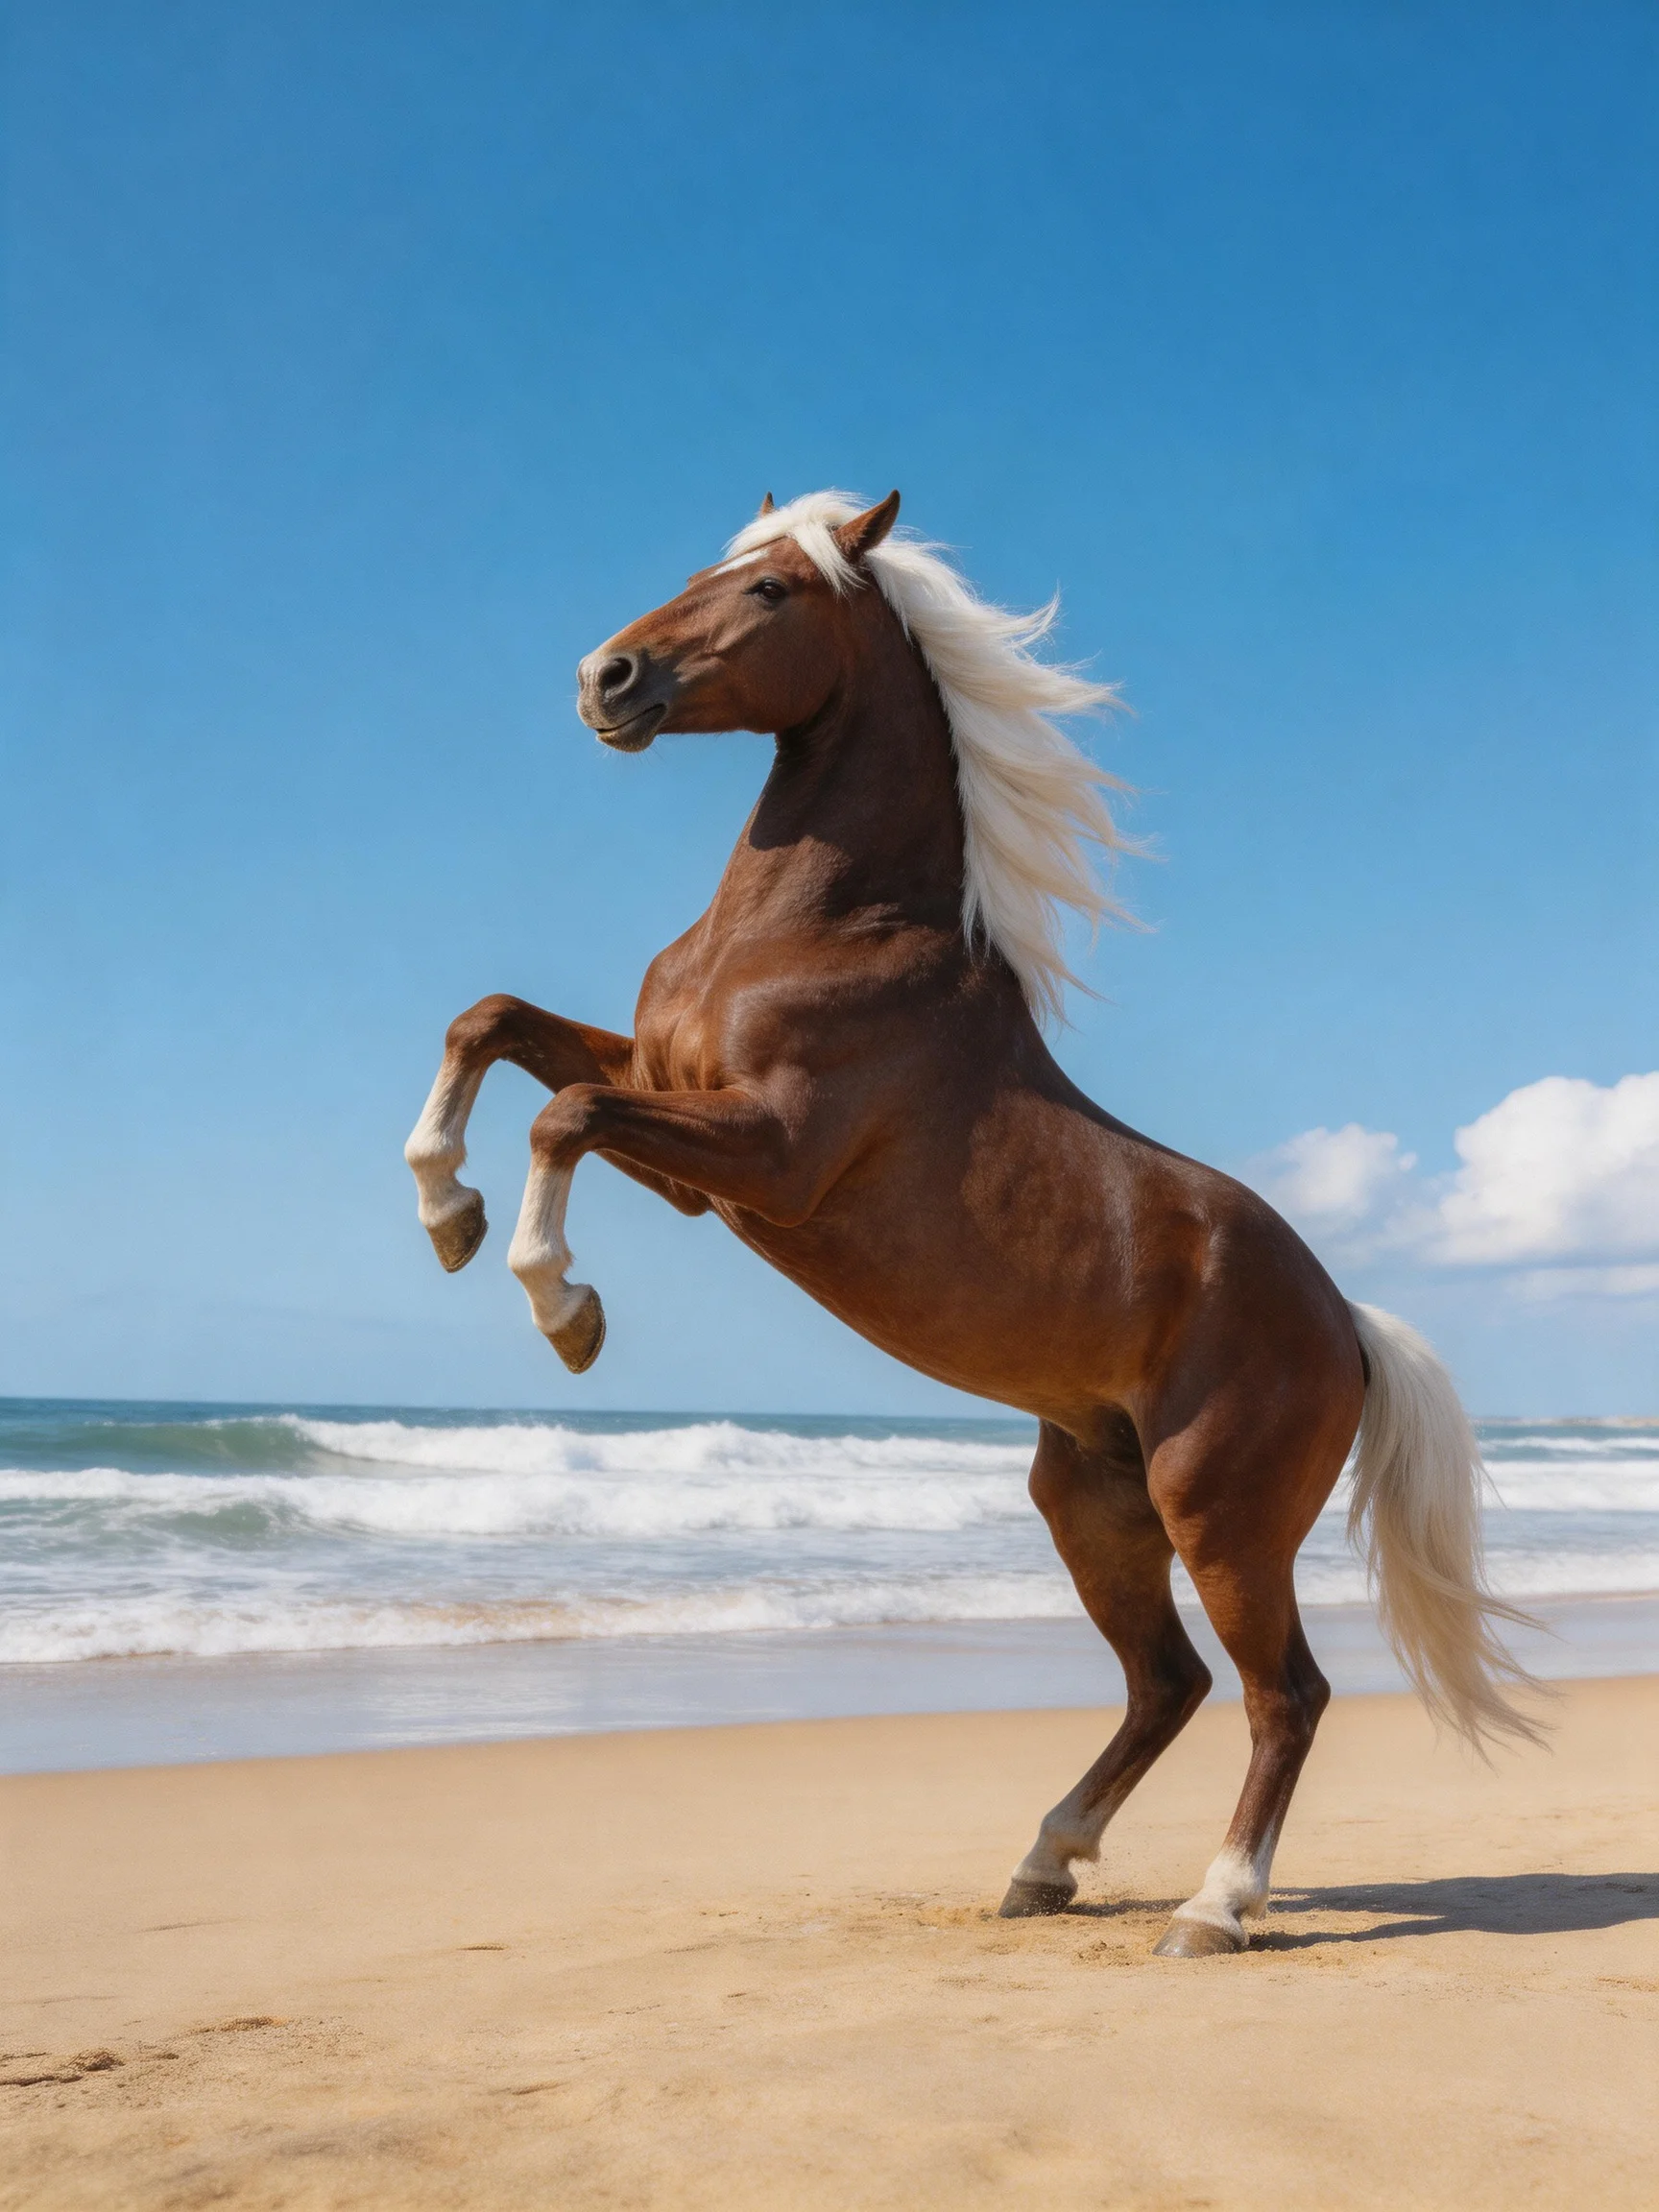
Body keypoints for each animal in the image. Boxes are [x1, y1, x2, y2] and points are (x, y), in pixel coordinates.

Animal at [405, 489, 1539, 1957]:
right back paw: (1044, 1864)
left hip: (1220, 1515)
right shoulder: (686, 1139)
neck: (821, 928)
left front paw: (562, 1307)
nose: (606, 679)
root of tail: (1345, 1321)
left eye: (770, 591)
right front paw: (446, 1207)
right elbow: (493, 1026)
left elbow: (565, 1113)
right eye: (710, 565)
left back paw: (1213, 1908)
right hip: (1092, 1506)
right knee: (1168, 1683)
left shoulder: (767, 1158)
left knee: (1282, 1693)